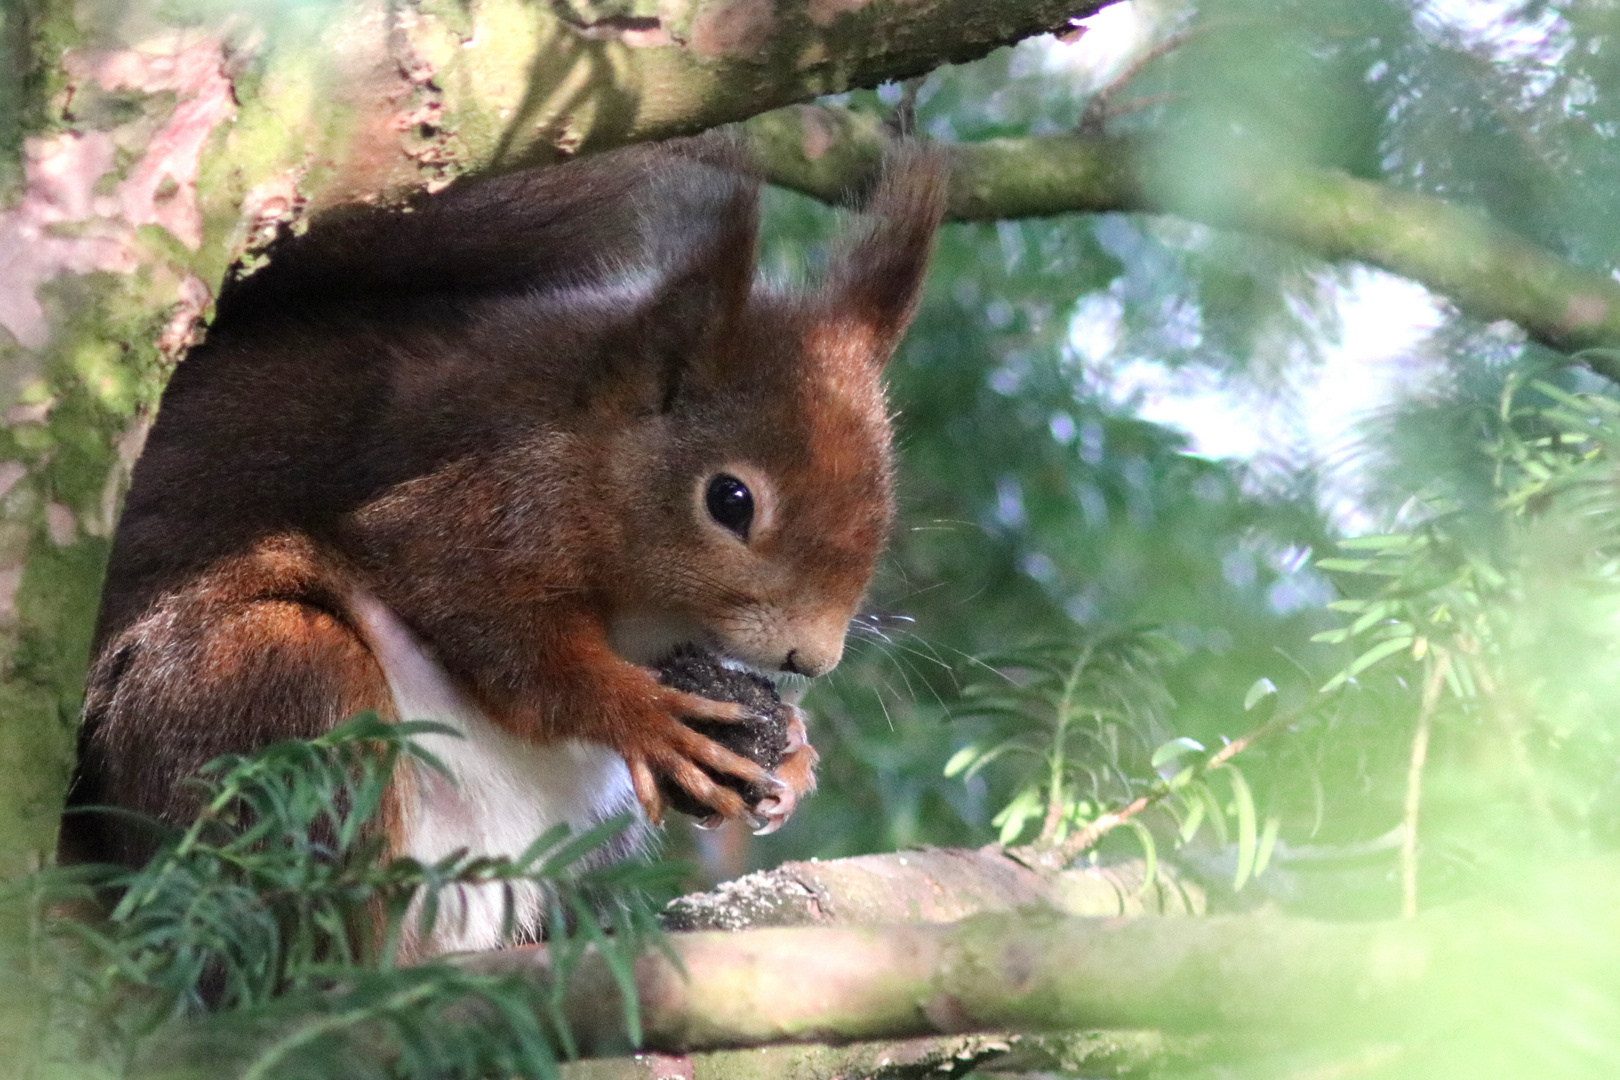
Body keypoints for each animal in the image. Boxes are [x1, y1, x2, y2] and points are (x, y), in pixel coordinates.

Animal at [63, 137, 946, 952]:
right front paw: (644, 716)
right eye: (730, 500)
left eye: (885, 498)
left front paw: (791, 750)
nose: (813, 659)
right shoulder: (464, 501)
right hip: (273, 687)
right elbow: (507, 639)